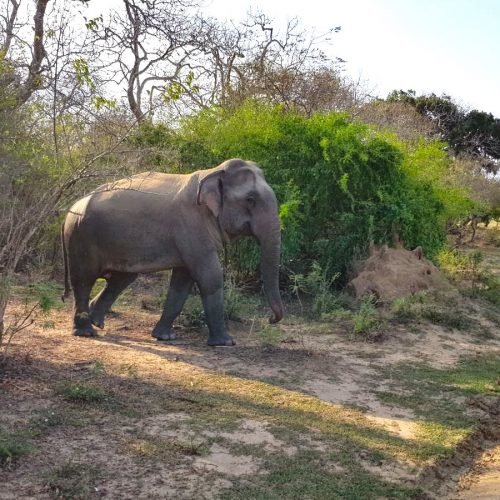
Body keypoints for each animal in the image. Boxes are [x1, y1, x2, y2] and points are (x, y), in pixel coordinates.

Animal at [60, 158, 284, 346]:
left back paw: (96, 322)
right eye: (251, 199)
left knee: (122, 278)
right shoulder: (192, 226)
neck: (213, 172)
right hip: (82, 237)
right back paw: (86, 332)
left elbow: (183, 281)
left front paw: (164, 337)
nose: (270, 319)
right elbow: (210, 276)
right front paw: (225, 343)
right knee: (84, 280)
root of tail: (70, 209)